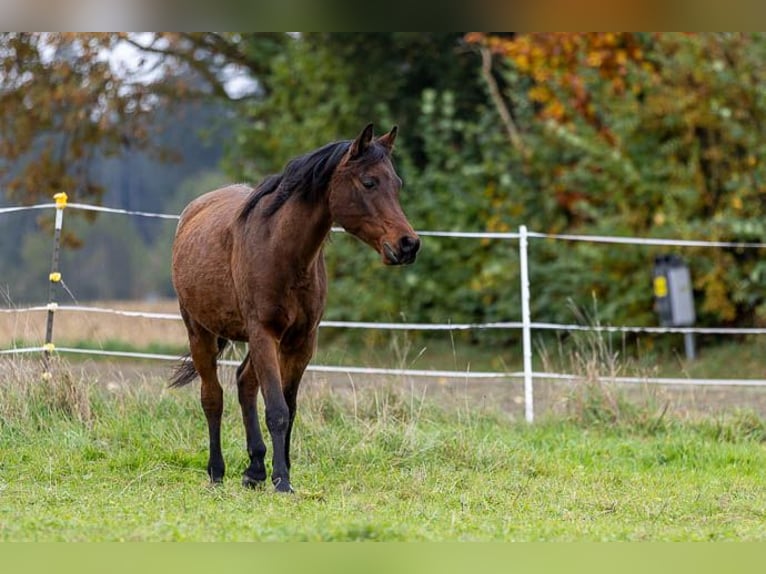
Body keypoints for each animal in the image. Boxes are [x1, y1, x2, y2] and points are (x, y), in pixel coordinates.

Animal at [170, 124, 420, 493]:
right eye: (369, 182)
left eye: (397, 184)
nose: (408, 245)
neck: (280, 249)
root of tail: (191, 212)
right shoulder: (264, 333)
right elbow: (276, 410)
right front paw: (283, 481)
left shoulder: (301, 341)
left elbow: (289, 407)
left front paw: (278, 471)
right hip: (200, 331)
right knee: (212, 397)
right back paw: (217, 471)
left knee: (244, 383)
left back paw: (254, 469)